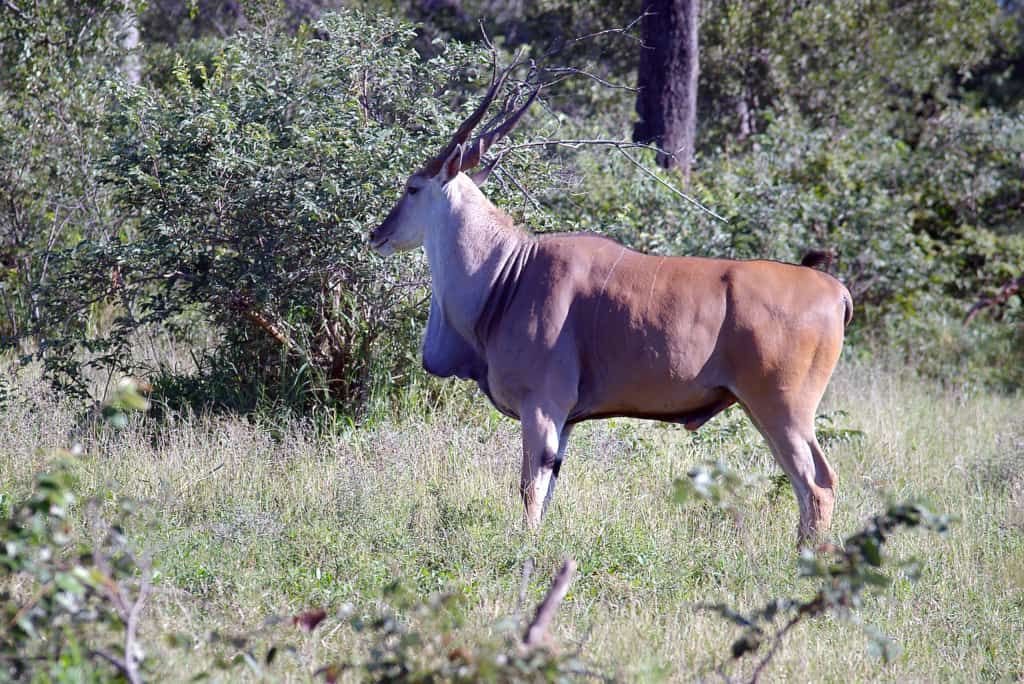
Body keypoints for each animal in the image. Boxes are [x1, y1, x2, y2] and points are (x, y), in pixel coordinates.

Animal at [372, 69, 851, 544]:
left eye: (412, 188)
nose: (378, 235)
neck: (508, 274)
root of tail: (833, 288)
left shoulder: (541, 405)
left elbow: (529, 487)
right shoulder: (563, 419)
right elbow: (547, 488)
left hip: (783, 409)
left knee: (817, 485)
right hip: (761, 409)